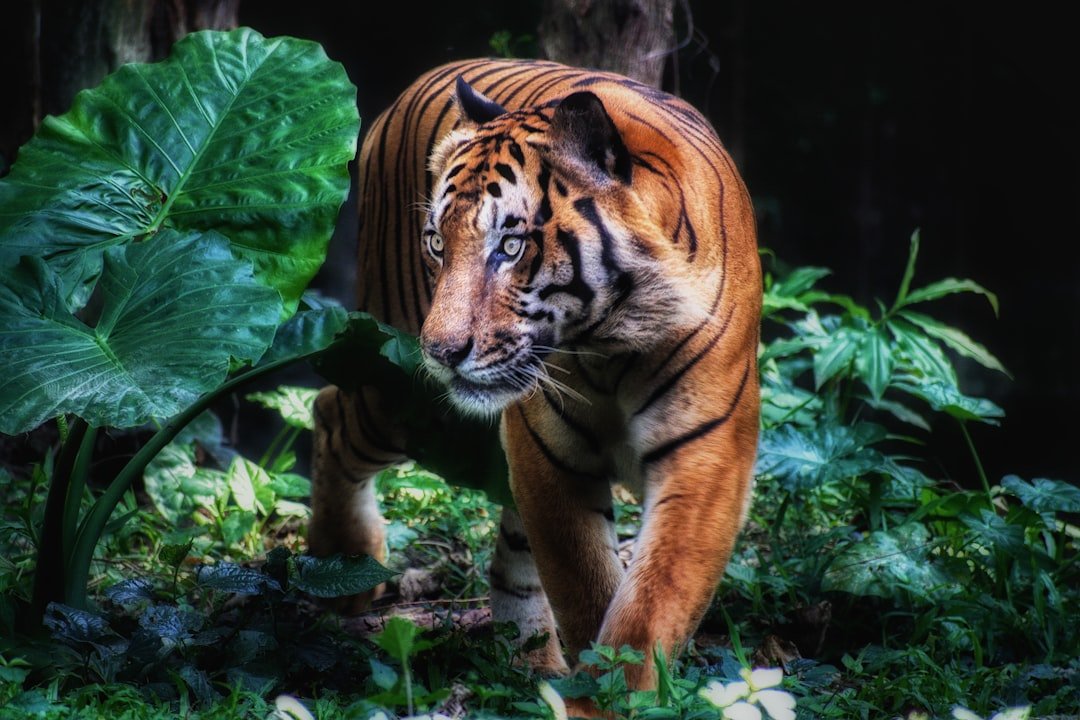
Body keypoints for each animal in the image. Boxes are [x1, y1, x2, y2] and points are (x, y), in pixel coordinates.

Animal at [308, 57, 761, 707]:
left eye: (511, 244)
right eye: (437, 243)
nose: (441, 353)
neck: (612, 340)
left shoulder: (707, 456)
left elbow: (652, 603)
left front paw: (619, 694)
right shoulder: (549, 450)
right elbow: (585, 587)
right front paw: (599, 696)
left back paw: (529, 664)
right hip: (402, 393)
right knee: (329, 409)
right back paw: (343, 569)